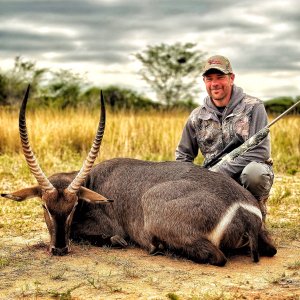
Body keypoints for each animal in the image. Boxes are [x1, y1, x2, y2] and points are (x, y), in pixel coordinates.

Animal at [1, 86, 276, 264]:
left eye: (74, 206)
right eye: (44, 206)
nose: (59, 249)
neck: (93, 182)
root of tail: (243, 210)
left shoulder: (107, 226)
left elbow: (102, 235)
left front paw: (116, 241)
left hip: (155, 206)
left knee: (217, 257)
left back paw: (159, 247)